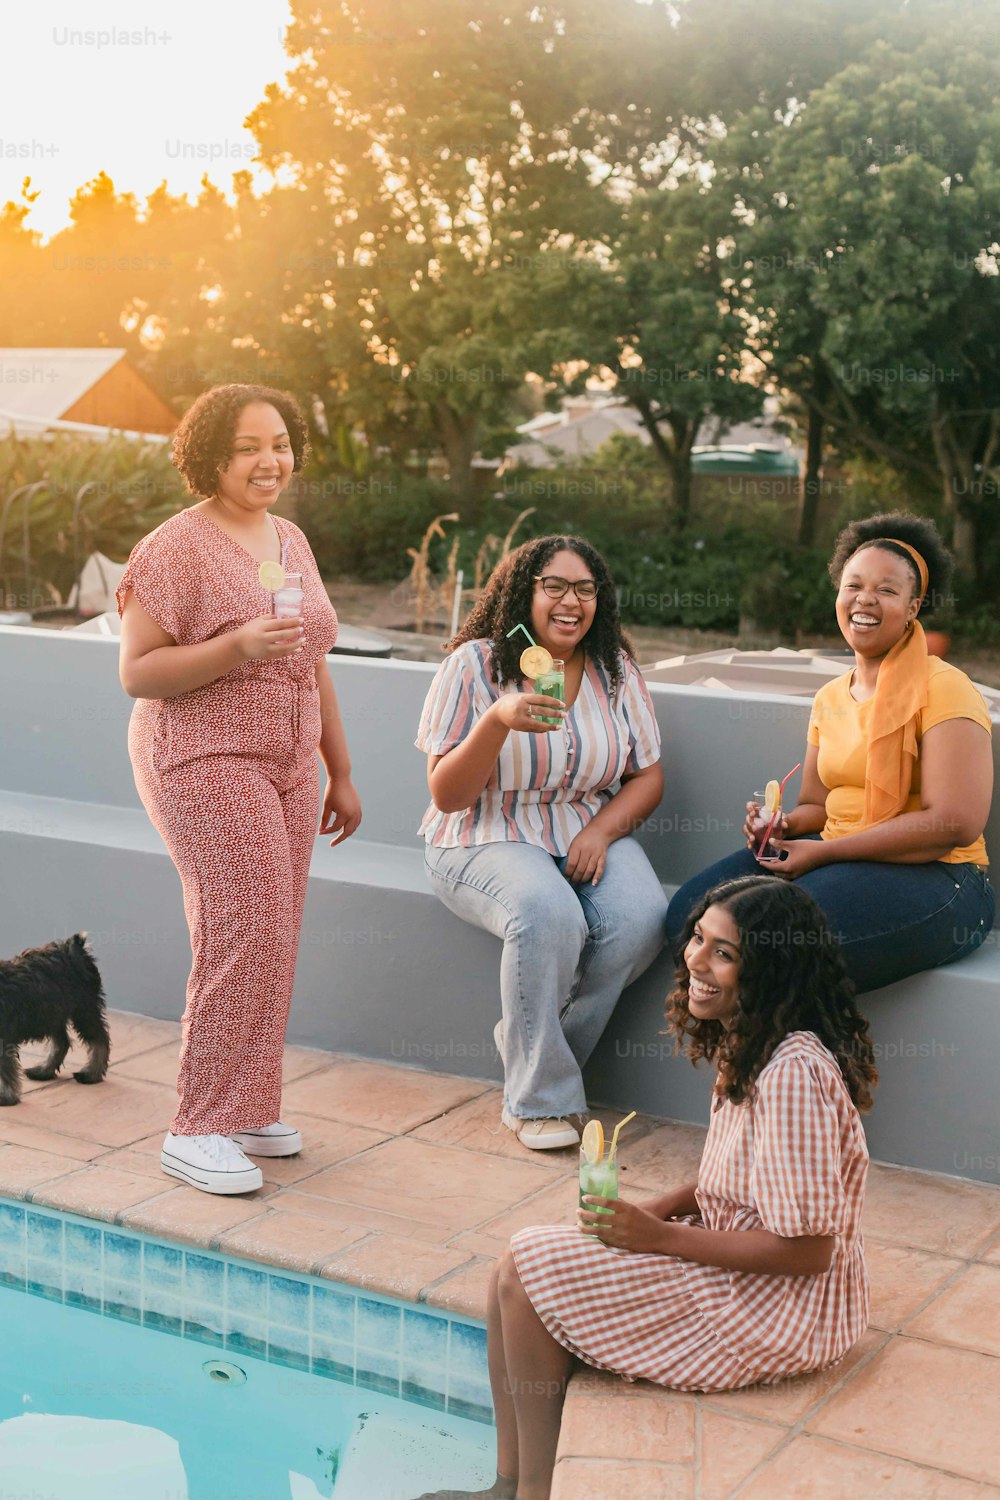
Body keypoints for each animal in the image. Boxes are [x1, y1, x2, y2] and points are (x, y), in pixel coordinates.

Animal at [0, 930, 110, 1110]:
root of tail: (74, 948)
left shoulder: (3, 1039)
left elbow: (6, 1069)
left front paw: (7, 1097)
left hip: (84, 1009)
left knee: (99, 1040)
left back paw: (91, 1074)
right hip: (53, 1014)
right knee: (62, 1042)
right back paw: (44, 1071)